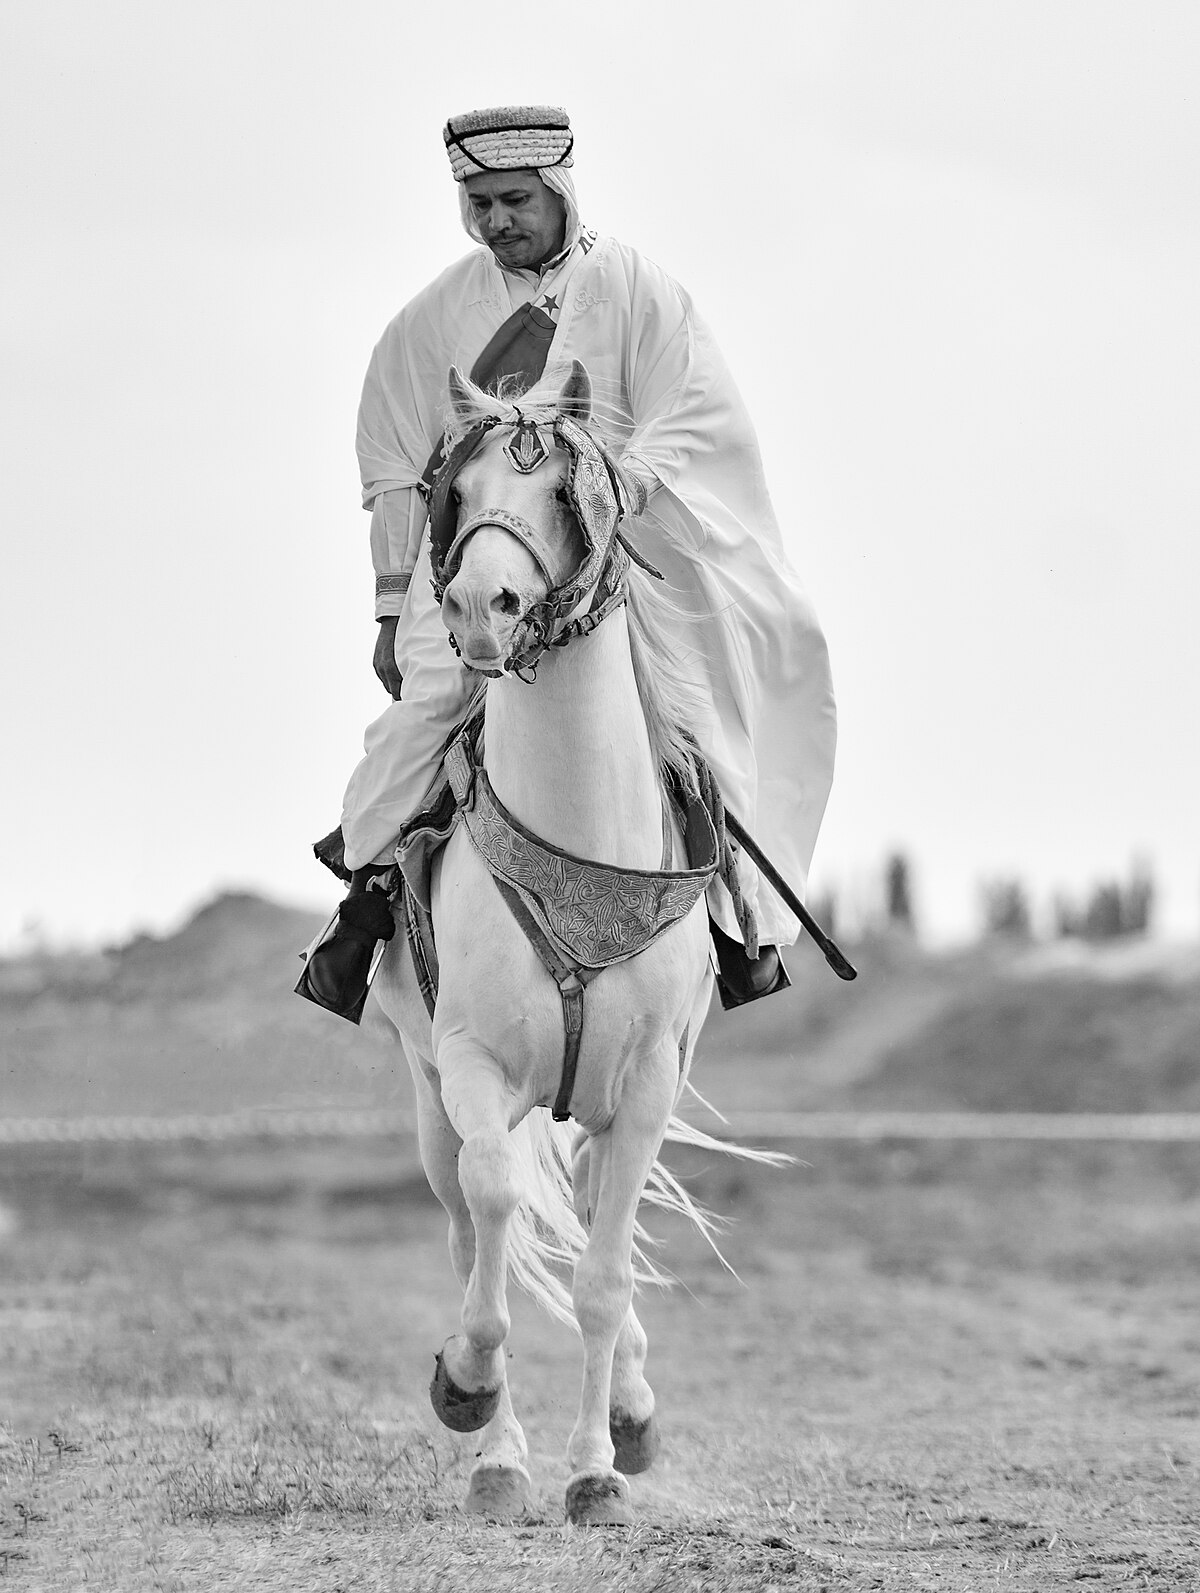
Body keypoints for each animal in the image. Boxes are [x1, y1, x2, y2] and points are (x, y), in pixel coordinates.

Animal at [368, 361, 768, 1529]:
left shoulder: (644, 1089)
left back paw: (627, 1411)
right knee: (472, 1222)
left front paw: (596, 1466)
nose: (478, 606)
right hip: (430, 1098)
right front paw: (471, 1391)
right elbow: (497, 1217)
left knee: (598, 1225)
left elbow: (601, 1276)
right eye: (456, 491)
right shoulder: (470, 1066)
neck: (579, 837)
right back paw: (494, 1445)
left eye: (563, 496)